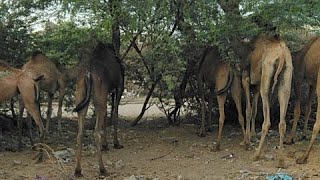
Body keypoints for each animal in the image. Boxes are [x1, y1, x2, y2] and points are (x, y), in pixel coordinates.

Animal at [74, 41, 125, 176]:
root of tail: (88, 74)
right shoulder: (119, 87)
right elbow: (115, 114)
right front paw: (116, 143)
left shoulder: (107, 92)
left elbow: (106, 118)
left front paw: (106, 145)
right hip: (99, 95)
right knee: (96, 132)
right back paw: (103, 169)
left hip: (82, 96)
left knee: (80, 132)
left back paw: (77, 170)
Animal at [242, 34, 292, 167]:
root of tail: (282, 54)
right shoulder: (257, 85)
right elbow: (254, 110)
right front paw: (252, 135)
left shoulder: (246, 79)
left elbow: (248, 110)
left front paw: (246, 142)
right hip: (286, 80)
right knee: (282, 123)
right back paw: (281, 161)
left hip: (266, 77)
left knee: (267, 122)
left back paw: (256, 155)